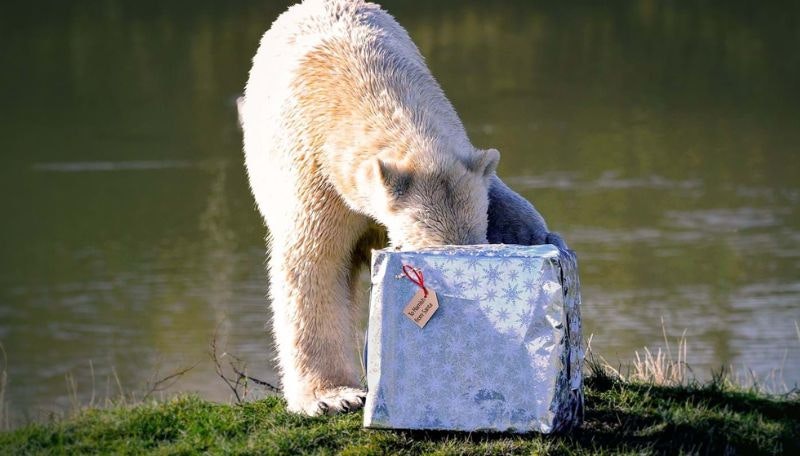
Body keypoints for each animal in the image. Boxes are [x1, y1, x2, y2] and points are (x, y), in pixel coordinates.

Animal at [240, 0, 561, 416]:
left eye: (477, 241)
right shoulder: (317, 177)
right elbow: (314, 263)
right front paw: (333, 396)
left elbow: (503, 201)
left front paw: (538, 239)